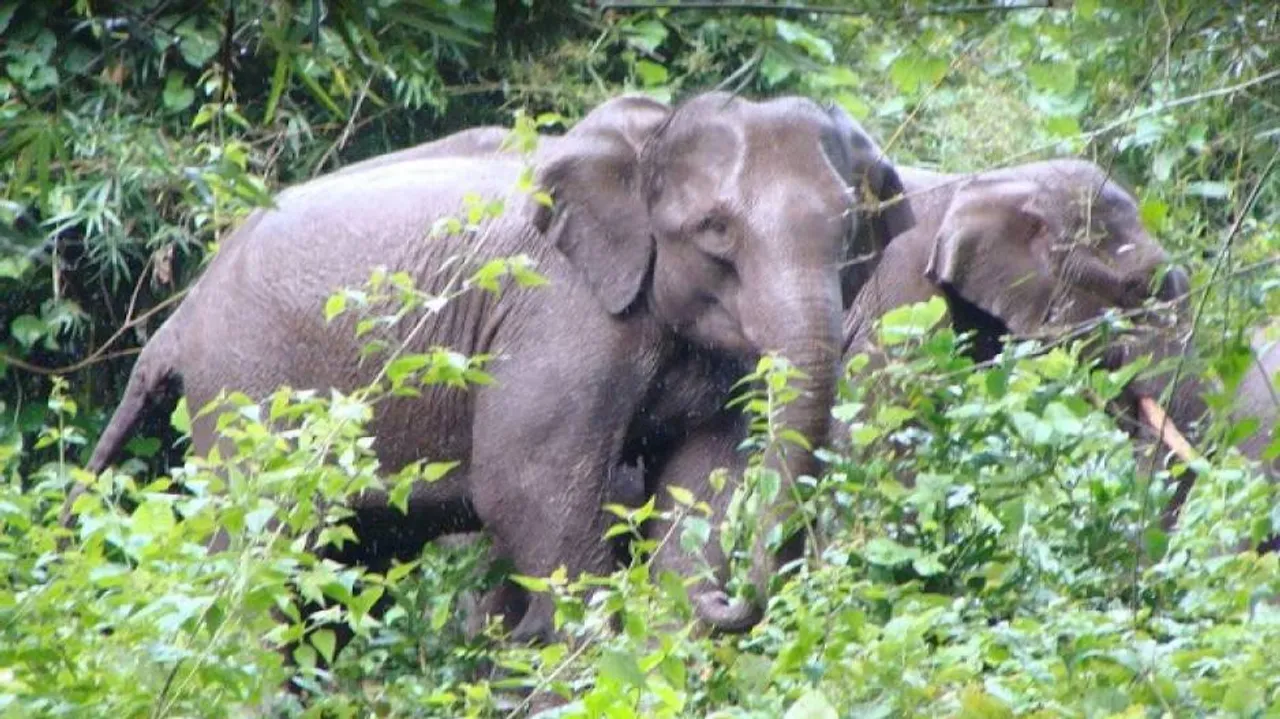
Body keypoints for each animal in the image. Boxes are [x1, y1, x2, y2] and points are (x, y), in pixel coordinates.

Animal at [61, 91, 916, 660]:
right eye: (715, 231)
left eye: (853, 229)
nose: (724, 597)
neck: (646, 138)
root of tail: (179, 315)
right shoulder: (560, 314)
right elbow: (527, 486)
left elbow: (705, 476)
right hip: (249, 389)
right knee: (264, 546)